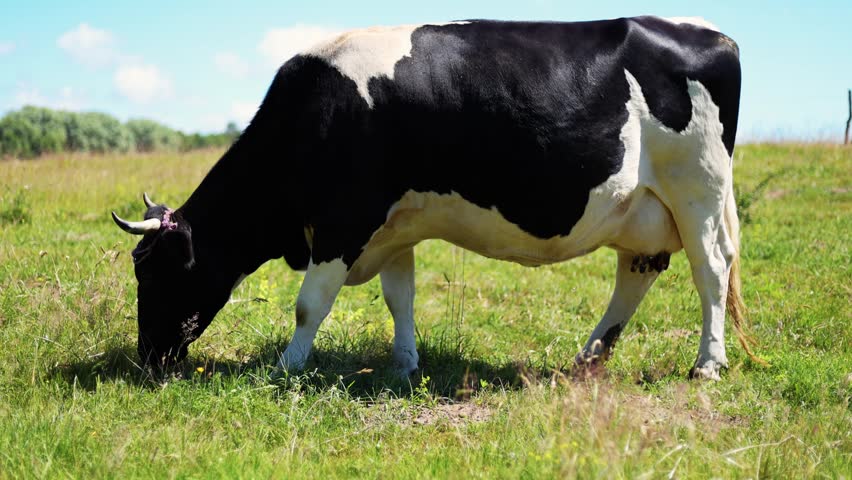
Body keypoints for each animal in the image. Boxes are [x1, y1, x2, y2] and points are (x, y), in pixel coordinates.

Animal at [112, 16, 760, 381]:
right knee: (637, 273)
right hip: (642, 209)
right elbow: (399, 296)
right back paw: (589, 358)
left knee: (710, 272)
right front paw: (403, 365)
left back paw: (708, 364)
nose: (147, 359)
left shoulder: (345, 221)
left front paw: (286, 367)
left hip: (697, 192)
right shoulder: (393, 225)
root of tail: (712, 34)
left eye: (156, 273)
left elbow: (308, 305)